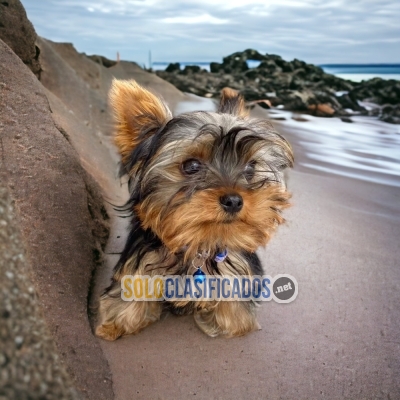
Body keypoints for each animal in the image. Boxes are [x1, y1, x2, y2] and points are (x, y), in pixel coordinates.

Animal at [95, 79, 292, 340]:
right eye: (191, 166)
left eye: (250, 168)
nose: (234, 200)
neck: (199, 243)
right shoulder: (142, 260)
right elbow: (131, 287)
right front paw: (117, 322)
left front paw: (233, 322)